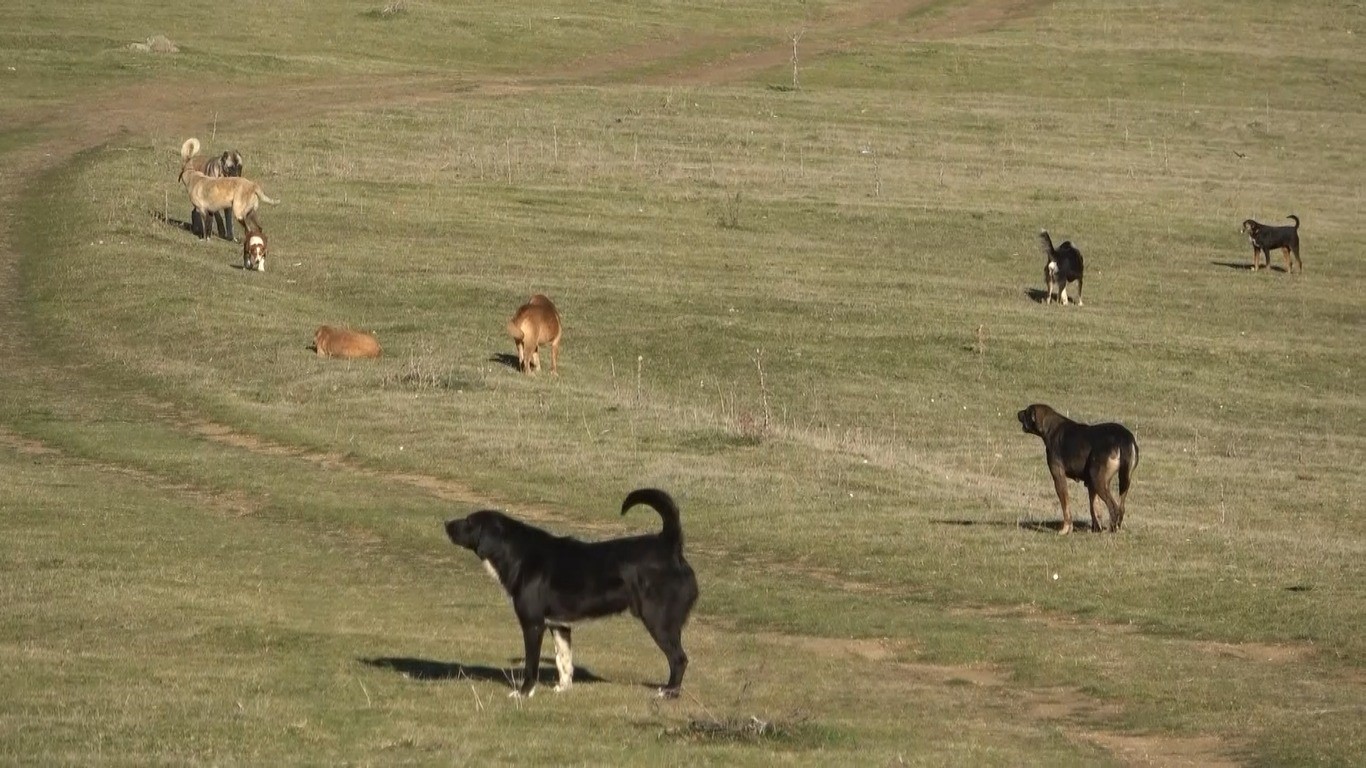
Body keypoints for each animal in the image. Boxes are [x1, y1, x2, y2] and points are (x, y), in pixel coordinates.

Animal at [445, 486, 699, 696]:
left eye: (469, 521)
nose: (446, 523)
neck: (516, 553)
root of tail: (669, 544)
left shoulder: (533, 624)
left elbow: (531, 664)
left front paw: (524, 693)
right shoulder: (559, 625)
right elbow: (563, 660)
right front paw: (563, 689)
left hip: (659, 620)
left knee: (679, 659)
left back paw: (669, 692)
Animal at [1016, 401, 1141, 532]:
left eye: (1026, 411)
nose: (1017, 413)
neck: (1051, 428)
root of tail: (1124, 438)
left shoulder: (1059, 477)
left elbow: (1066, 506)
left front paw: (1066, 529)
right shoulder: (1090, 484)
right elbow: (1094, 509)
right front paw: (1096, 529)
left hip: (1098, 480)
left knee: (1113, 507)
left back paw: (1111, 530)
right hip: (1121, 482)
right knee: (1121, 508)